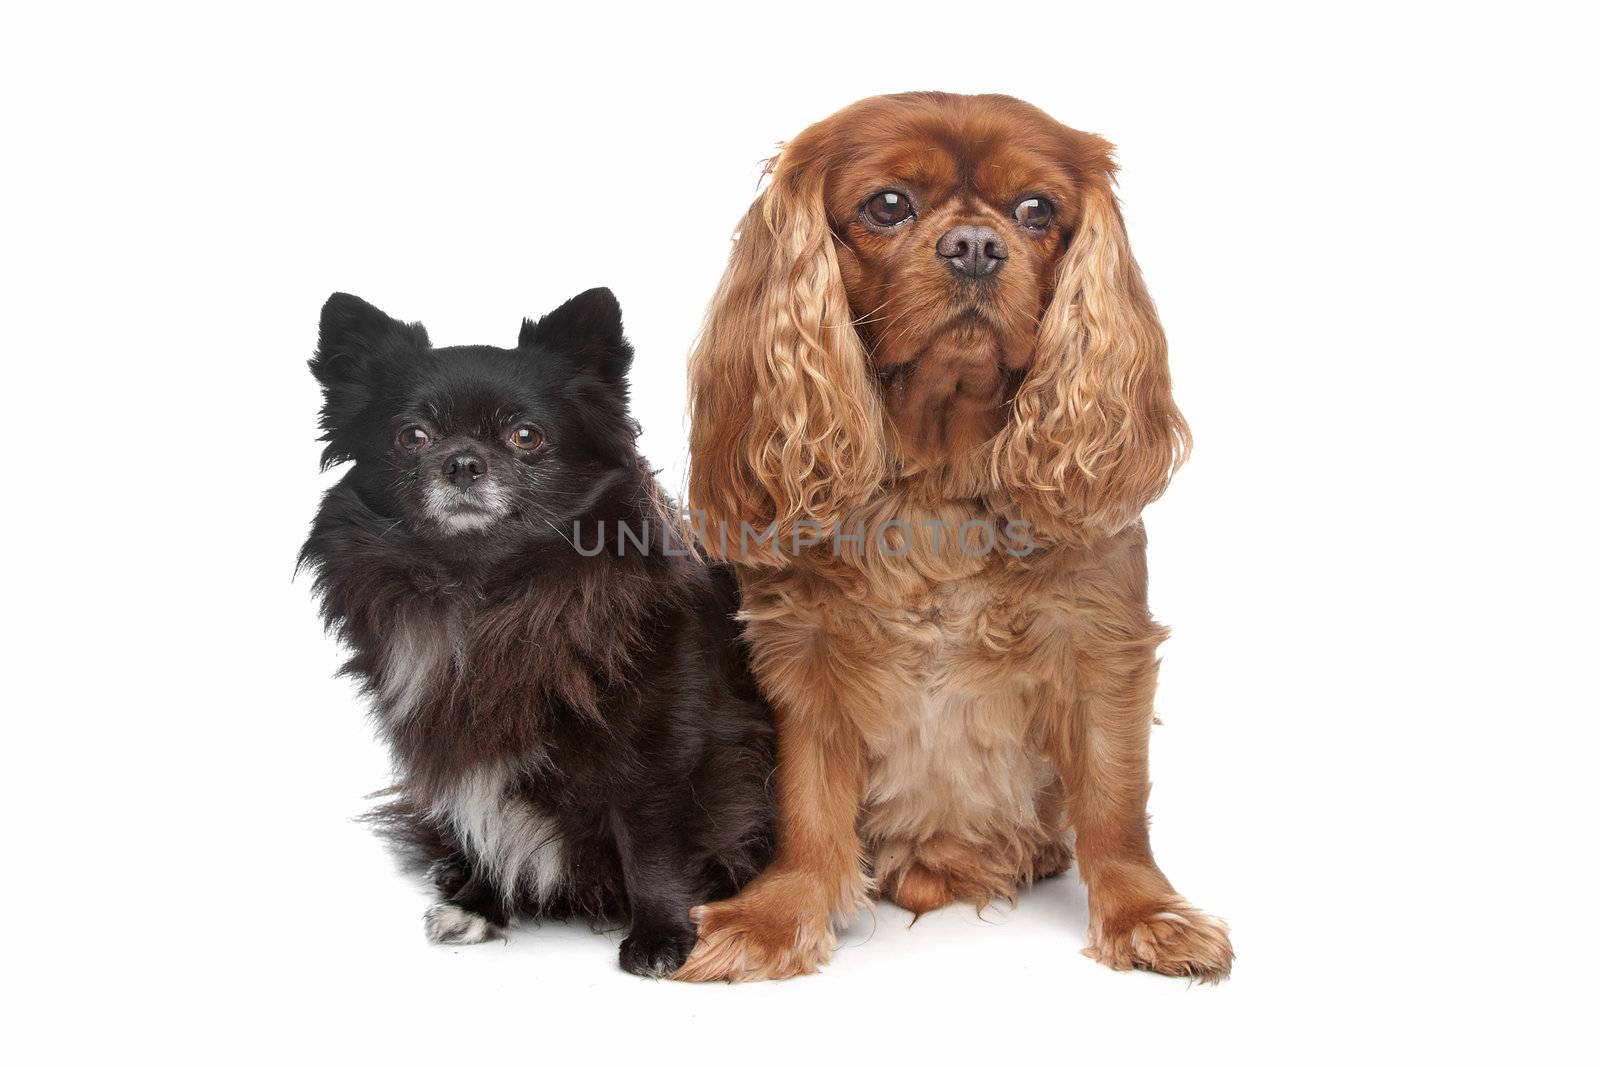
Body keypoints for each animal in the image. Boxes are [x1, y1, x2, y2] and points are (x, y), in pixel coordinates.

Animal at [304, 289, 774, 979]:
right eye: (412, 437)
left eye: (525, 436)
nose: (463, 462)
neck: (485, 594)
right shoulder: (459, 747)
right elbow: (481, 823)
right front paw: (479, 903)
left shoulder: (667, 753)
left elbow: (656, 845)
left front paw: (660, 936)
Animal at [668, 93, 1228, 985]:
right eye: (888, 204)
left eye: (1037, 210)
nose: (974, 245)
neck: (936, 484)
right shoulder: (802, 659)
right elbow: (805, 805)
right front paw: (775, 917)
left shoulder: (1102, 645)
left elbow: (1114, 800)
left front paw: (1149, 915)